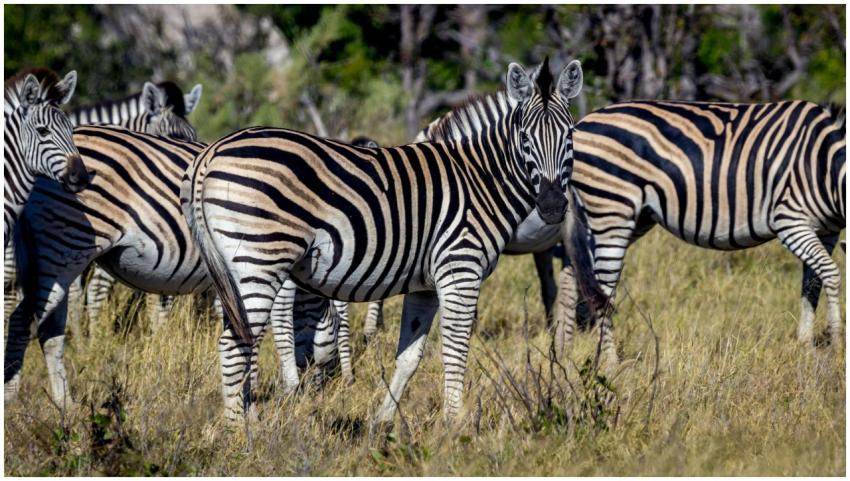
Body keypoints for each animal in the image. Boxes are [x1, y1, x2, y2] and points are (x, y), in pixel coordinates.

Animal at [183, 58, 606, 425]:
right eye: (524, 138)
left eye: (570, 136)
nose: (552, 206)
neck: (480, 179)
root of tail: (214, 150)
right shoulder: (460, 270)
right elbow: (455, 350)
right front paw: (455, 427)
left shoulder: (426, 285)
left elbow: (410, 357)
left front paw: (381, 422)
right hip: (259, 258)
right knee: (235, 345)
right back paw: (241, 433)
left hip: (237, 269)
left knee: (238, 340)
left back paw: (248, 418)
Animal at [550, 100, 845, 366]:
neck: (824, 164)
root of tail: (579, 124)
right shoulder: (790, 221)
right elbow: (831, 273)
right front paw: (837, 345)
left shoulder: (826, 231)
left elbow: (812, 284)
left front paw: (806, 347)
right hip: (612, 211)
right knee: (601, 288)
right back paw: (611, 364)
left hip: (623, 218)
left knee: (572, 273)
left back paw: (564, 354)